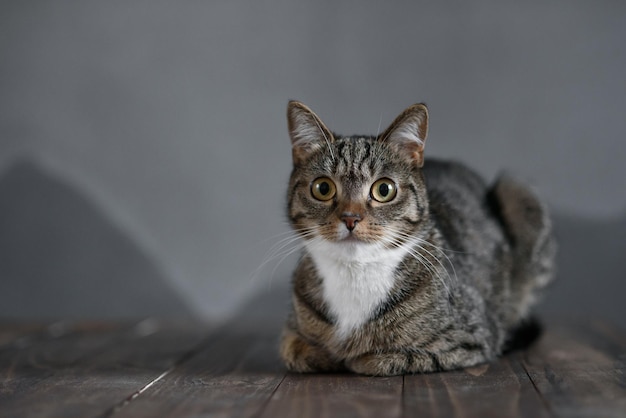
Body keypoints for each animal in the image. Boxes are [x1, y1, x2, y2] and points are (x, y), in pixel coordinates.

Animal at [280, 100, 552, 376]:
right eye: (323, 188)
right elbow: (295, 350)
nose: (350, 218)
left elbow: (383, 359)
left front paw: (356, 357)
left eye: (384, 189)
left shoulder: (472, 339)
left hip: (517, 191)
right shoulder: (290, 332)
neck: (355, 271)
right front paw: (325, 353)